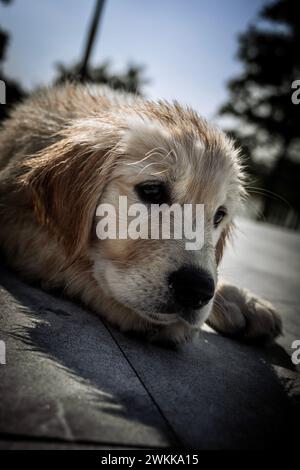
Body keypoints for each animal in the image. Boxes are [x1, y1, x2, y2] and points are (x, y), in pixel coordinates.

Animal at [0, 82, 282, 344]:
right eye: (152, 190)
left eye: (219, 215)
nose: (197, 289)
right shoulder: (16, 222)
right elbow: (65, 263)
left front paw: (242, 300)